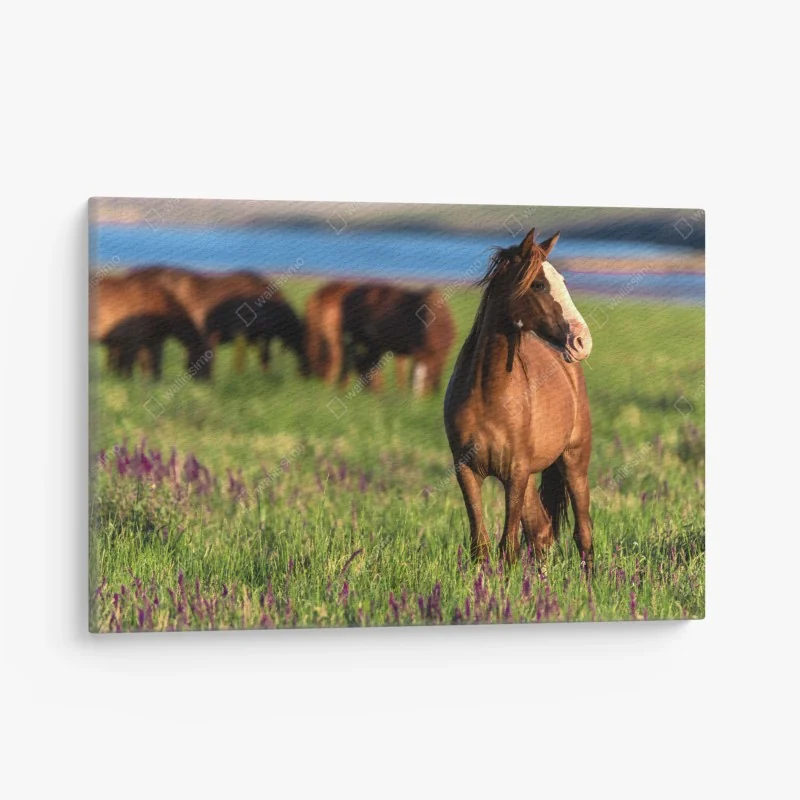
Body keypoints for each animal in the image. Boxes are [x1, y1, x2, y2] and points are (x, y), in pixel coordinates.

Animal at [443, 228, 594, 571]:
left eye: (563, 280)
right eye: (538, 284)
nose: (582, 341)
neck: (488, 393)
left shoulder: (515, 473)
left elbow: (508, 547)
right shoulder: (467, 471)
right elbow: (481, 545)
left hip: (574, 462)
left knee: (583, 533)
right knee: (542, 533)